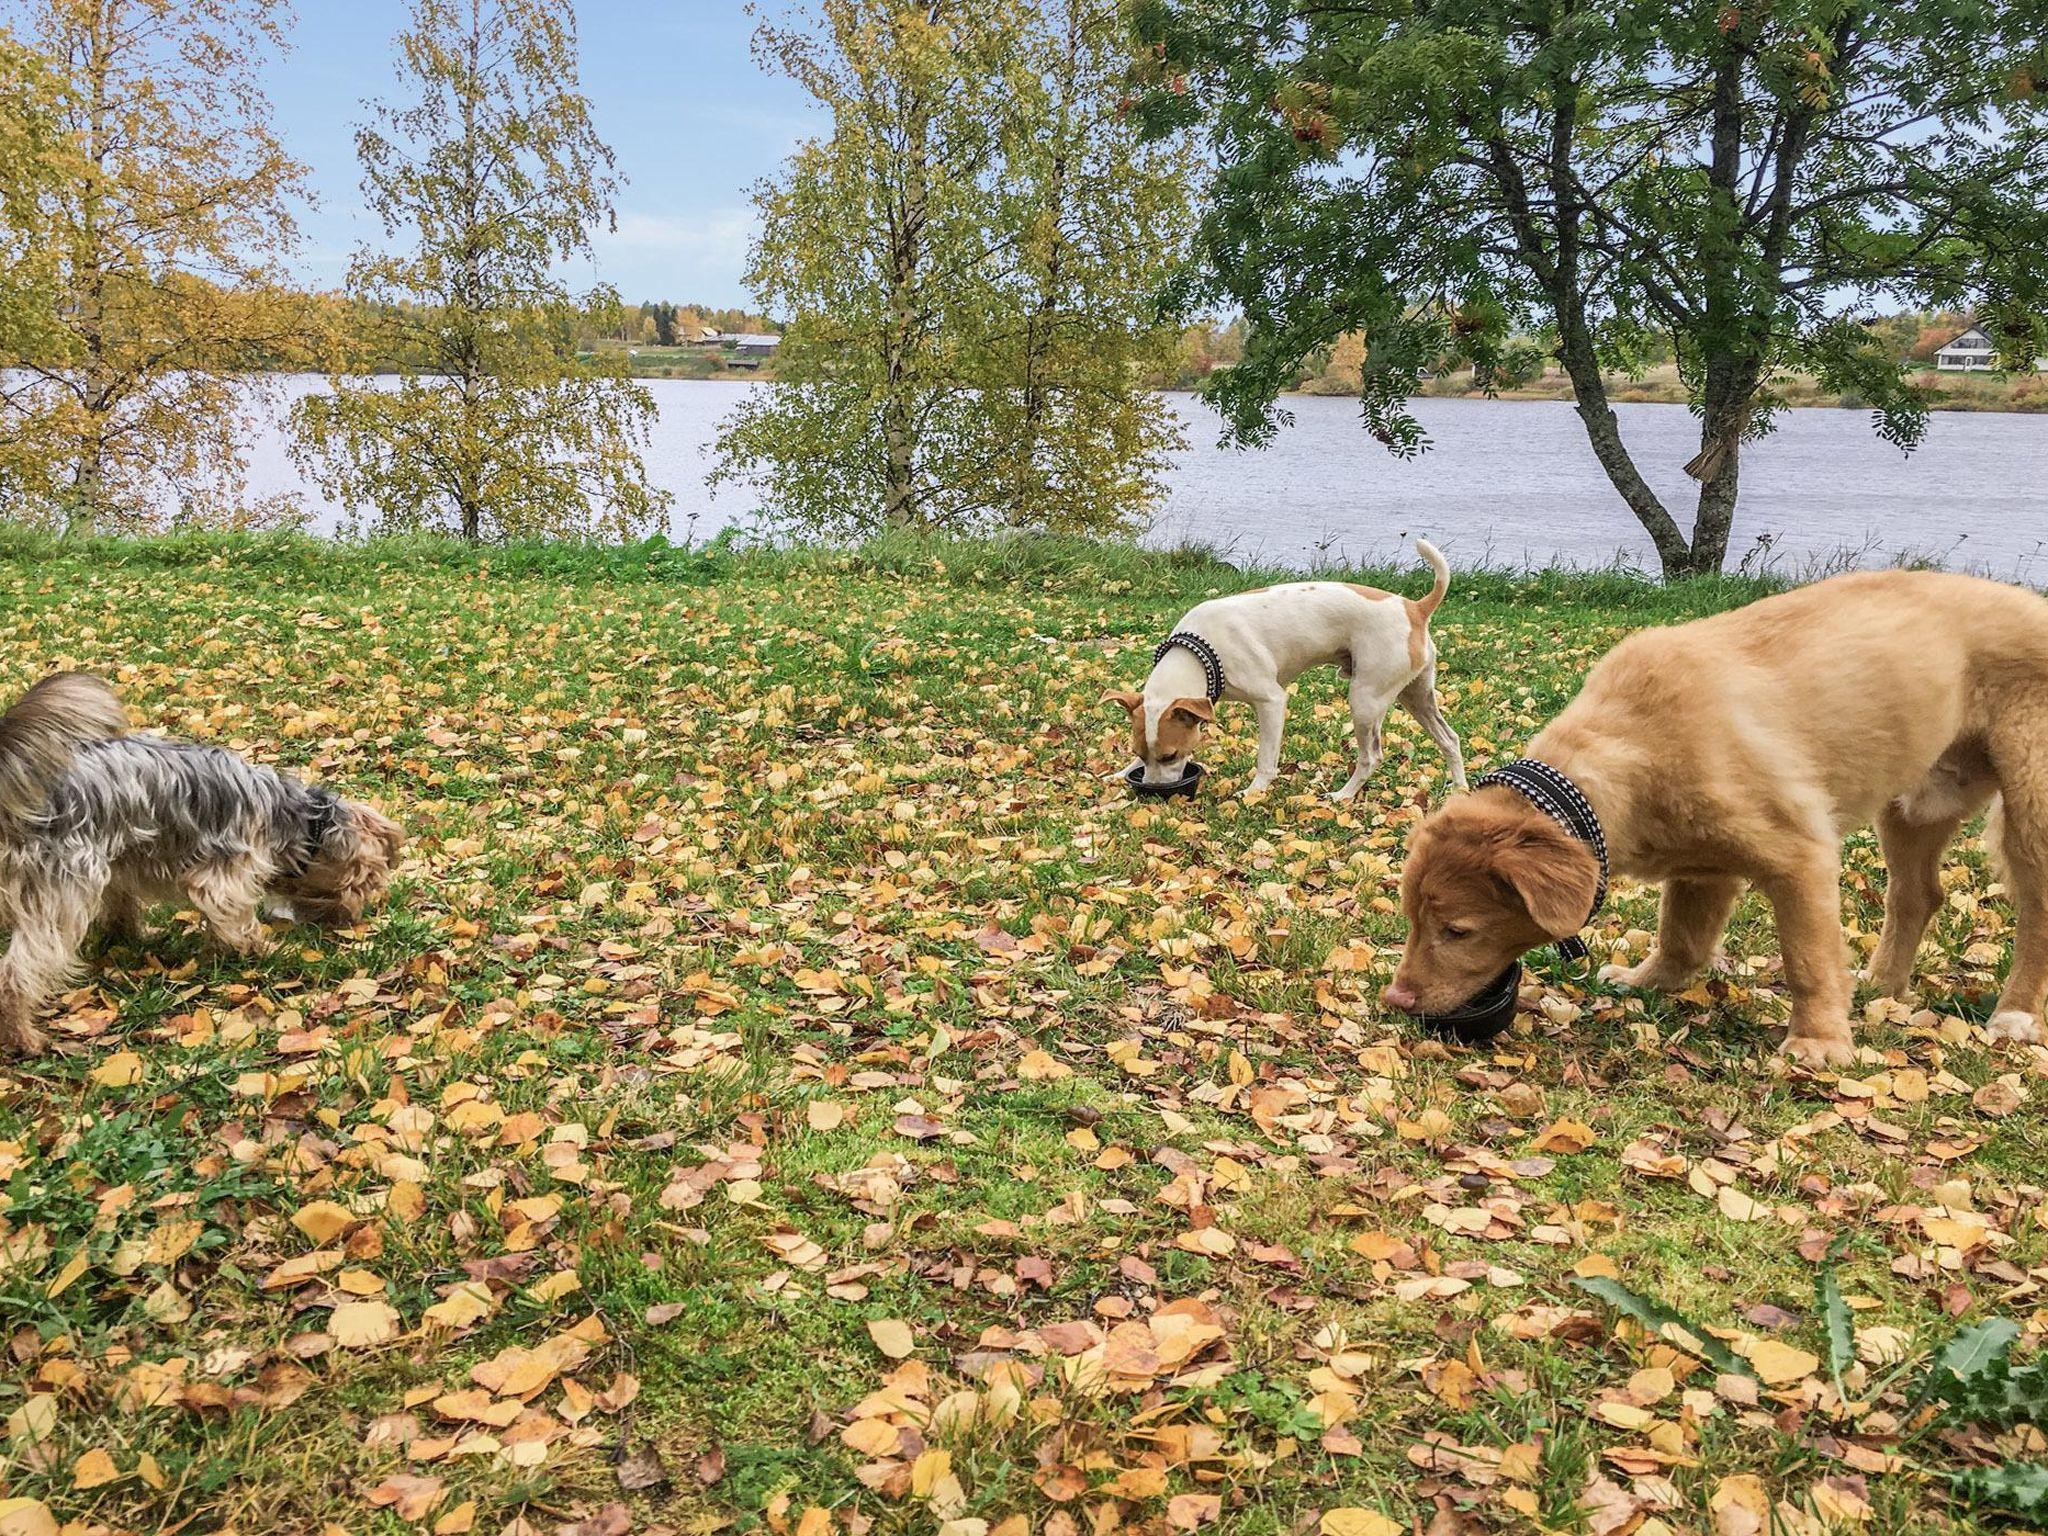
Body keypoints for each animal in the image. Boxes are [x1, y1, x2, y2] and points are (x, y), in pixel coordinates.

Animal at [1114, 540, 1466, 798]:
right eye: (1140, 753)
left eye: (1170, 756)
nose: (1153, 789)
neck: (1202, 651)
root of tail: (1415, 608)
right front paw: (1122, 771)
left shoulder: (1271, 702)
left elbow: (1266, 760)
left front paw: (1254, 792)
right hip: (1416, 695)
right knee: (1450, 739)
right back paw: (1460, 791)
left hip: (1365, 700)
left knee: (1371, 757)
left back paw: (1343, 796)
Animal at [1384, 573, 2048, 1064]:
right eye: (1411, 918)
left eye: (1458, 931)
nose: (1396, 998)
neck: (1632, 745)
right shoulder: (1703, 867)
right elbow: (1681, 935)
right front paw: (1650, 981)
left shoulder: (1800, 854)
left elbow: (1808, 960)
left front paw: (1819, 1042)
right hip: (1913, 802)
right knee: (1917, 894)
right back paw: (1883, 986)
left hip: (2030, 803)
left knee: (2035, 913)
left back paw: (2015, 1014)